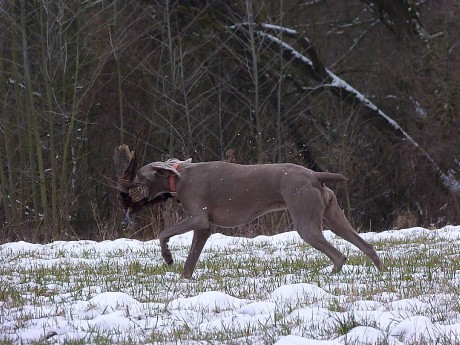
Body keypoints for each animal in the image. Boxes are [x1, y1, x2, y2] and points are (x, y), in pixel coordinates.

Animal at [116, 145, 384, 276]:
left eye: (139, 175)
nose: (125, 188)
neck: (179, 177)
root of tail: (314, 175)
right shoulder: (204, 229)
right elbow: (191, 259)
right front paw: (185, 279)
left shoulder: (198, 218)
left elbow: (163, 234)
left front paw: (168, 258)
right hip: (333, 216)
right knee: (366, 245)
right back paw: (381, 271)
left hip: (306, 221)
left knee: (338, 255)